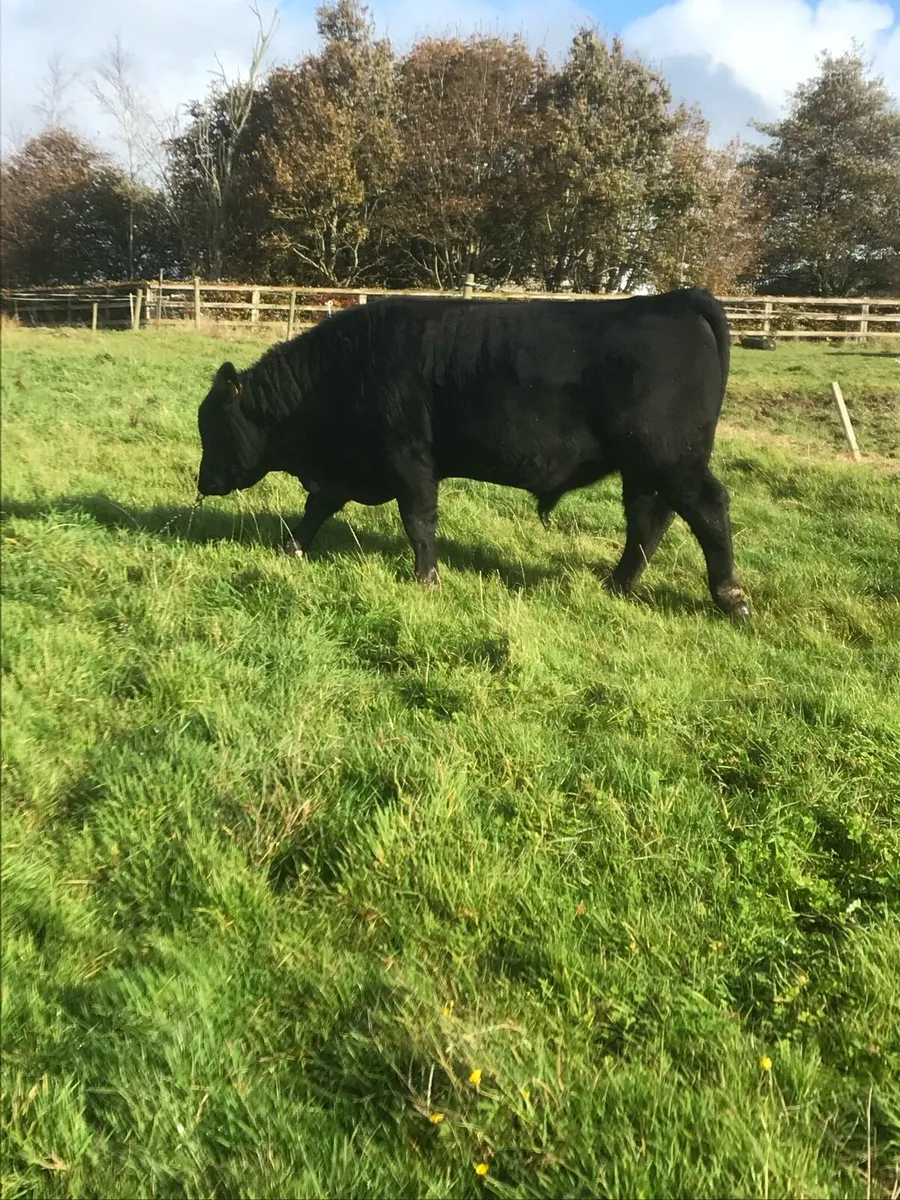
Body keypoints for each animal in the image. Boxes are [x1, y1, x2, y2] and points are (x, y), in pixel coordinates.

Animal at [196, 288, 750, 619]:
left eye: (214, 427)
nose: (202, 483)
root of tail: (677, 298)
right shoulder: (351, 468)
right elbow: (318, 507)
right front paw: (291, 548)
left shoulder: (409, 460)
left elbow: (419, 522)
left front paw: (427, 579)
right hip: (644, 470)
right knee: (648, 521)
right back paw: (616, 587)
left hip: (671, 460)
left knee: (708, 509)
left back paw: (731, 597)